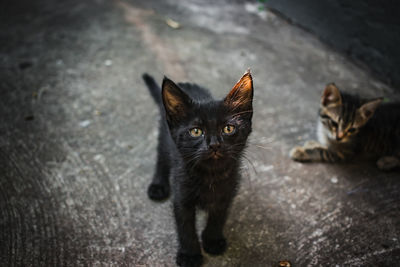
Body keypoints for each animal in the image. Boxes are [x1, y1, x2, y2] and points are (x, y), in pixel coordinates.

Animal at [141, 70, 253, 266]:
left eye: (228, 128)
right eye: (196, 132)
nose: (214, 144)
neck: (210, 174)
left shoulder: (227, 191)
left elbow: (218, 216)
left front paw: (213, 240)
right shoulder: (181, 194)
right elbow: (185, 226)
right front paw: (190, 255)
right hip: (165, 138)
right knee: (162, 157)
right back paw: (158, 185)